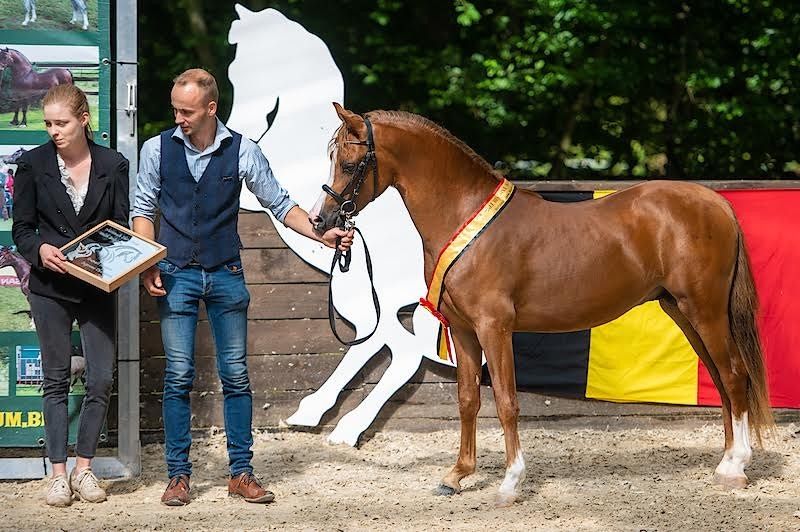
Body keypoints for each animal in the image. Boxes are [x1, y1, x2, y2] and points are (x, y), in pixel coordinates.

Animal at [310, 103, 774, 506]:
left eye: (349, 163)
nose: (321, 220)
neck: (465, 219)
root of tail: (717, 202)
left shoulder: (494, 327)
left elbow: (506, 400)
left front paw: (511, 482)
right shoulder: (462, 329)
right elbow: (468, 399)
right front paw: (457, 475)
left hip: (705, 310)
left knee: (735, 376)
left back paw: (736, 467)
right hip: (682, 311)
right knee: (721, 381)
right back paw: (724, 463)